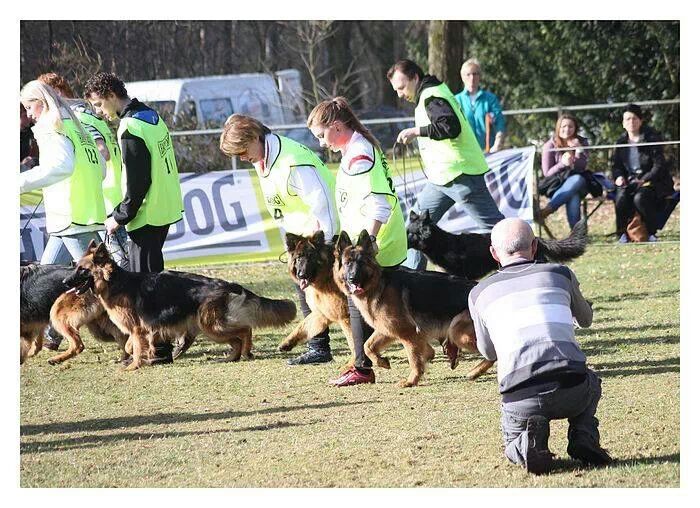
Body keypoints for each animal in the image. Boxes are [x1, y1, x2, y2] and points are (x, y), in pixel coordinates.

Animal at [63, 241, 297, 370]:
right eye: (75, 267)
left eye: (82, 270)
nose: (65, 282)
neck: (115, 282)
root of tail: (226, 283)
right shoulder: (141, 330)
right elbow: (132, 345)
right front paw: (142, 358)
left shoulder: (138, 329)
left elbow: (135, 347)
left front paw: (133, 366)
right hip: (210, 328)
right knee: (236, 339)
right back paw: (232, 357)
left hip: (211, 326)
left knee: (245, 330)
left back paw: (246, 353)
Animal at [277, 231, 355, 367]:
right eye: (298, 258)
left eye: (311, 257)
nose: (301, 275)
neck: (327, 274)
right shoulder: (322, 312)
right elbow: (303, 325)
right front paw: (287, 342)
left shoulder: (345, 317)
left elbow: (353, 342)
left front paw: (354, 363)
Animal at [333, 230, 494, 387]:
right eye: (347, 263)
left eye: (361, 263)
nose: (353, 278)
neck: (379, 284)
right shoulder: (387, 329)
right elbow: (368, 346)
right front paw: (382, 362)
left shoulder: (407, 333)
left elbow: (414, 360)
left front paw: (411, 381)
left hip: (458, 332)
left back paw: (475, 371)